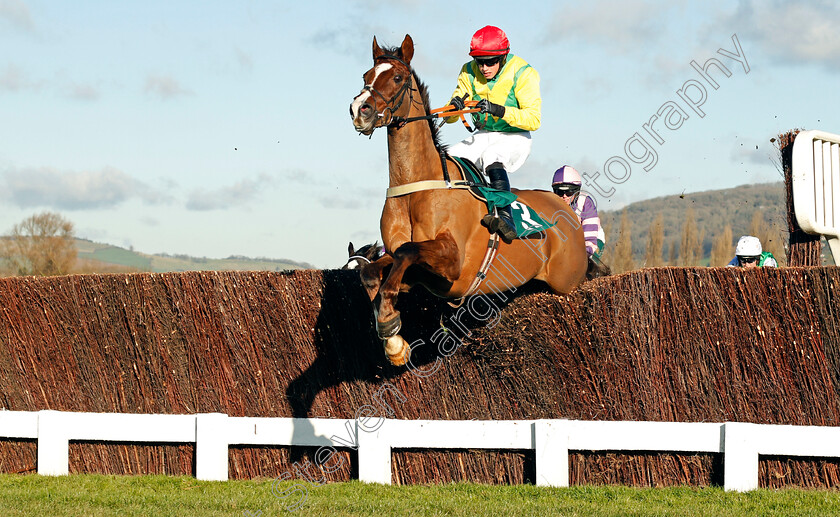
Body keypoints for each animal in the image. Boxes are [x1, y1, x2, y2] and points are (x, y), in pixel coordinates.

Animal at [352, 34, 588, 364]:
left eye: (397, 77)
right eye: (366, 76)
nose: (359, 109)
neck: (415, 187)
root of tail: (567, 211)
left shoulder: (453, 263)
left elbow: (407, 252)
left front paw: (390, 327)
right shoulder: (421, 275)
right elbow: (373, 271)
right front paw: (394, 340)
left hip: (568, 282)